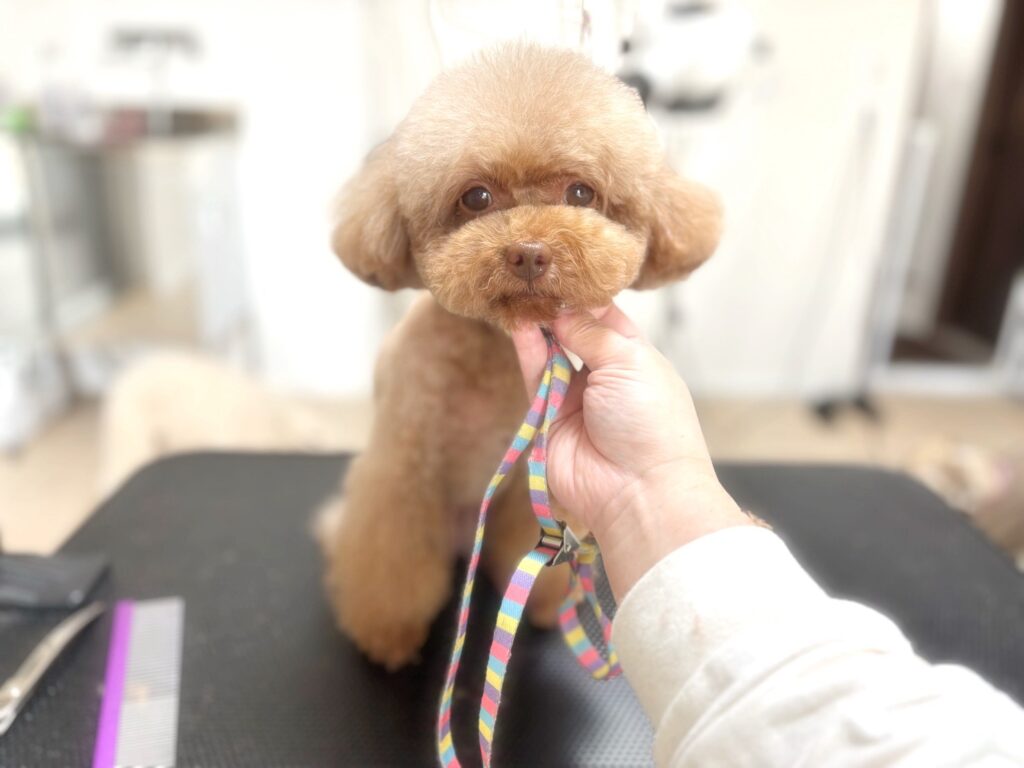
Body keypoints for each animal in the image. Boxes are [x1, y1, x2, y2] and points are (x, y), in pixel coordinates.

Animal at [316, 43, 722, 670]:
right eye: (476, 197)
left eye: (580, 193)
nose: (530, 253)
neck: (489, 358)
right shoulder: (402, 470)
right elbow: (390, 560)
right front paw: (388, 633)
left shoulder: (528, 485)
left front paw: (543, 602)